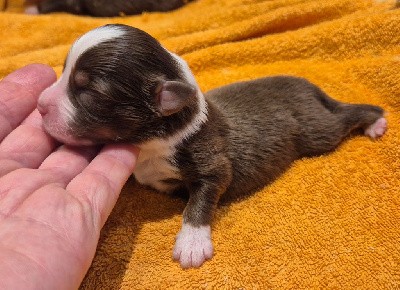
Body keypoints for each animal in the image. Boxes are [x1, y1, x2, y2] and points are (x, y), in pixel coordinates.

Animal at [36, 23, 388, 268]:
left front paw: (192, 242)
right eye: (64, 71)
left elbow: (202, 197)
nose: (40, 106)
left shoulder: (210, 160)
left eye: (89, 92)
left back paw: (375, 121)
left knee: (344, 118)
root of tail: (305, 84)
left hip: (317, 132)